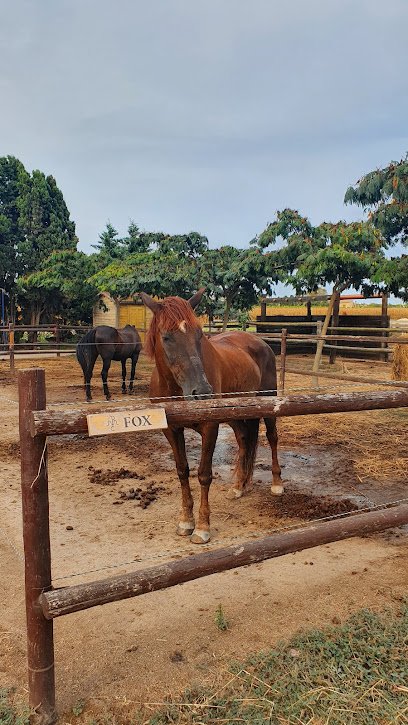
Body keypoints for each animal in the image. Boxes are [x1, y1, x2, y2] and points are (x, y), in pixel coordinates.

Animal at [140, 288, 280, 544]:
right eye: (166, 337)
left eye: (199, 335)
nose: (203, 392)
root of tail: (259, 342)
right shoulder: (171, 430)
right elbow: (182, 471)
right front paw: (186, 521)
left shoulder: (210, 426)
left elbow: (204, 474)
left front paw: (202, 526)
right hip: (235, 416)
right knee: (244, 440)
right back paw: (238, 487)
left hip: (268, 402)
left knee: (273, 438)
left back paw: (277, 484)